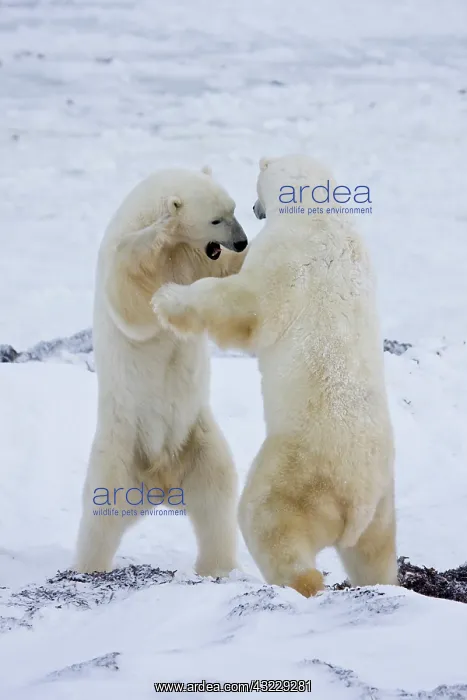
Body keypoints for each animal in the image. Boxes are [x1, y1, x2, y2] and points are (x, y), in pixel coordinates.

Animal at [74, 166, 248, 577]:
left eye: (233, 209)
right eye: (216, 219)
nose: (241, 240)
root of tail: (160, 480)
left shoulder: (199, 260)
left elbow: (225, 278)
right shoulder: (125, 250)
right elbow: (130, 298)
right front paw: (161, 230)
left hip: (198, 440)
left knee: (217, 497)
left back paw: (218, 566)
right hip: (119, 451)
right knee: (100, 515)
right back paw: (87, 567)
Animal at [152, 154, 397, 597]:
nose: (254, 208)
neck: (321, 213)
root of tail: (354, 504)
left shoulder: (287, 257)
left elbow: (243, 302)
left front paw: (168, 298)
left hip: (296, 474)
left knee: (267, 520)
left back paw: (300, 580)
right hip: (382, 500)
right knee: (375, 552)